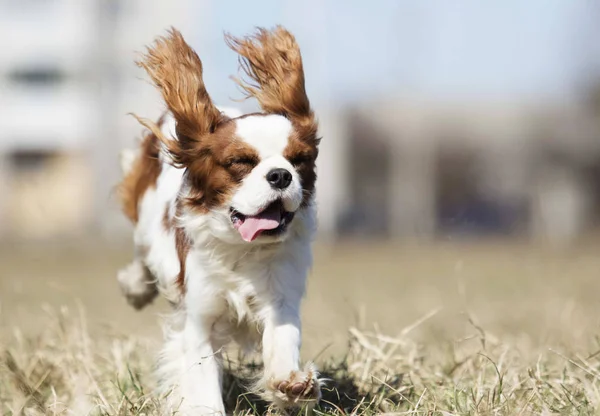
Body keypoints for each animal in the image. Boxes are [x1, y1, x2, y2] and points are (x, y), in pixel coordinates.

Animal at [118, 27, 324, 414]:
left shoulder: (281, 297)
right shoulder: (200, 321)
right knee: (140, 255)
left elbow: (283, 340)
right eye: (241, 162)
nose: (280, 175)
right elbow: (201, 383)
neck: (241, 249)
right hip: (146, 225)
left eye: (299, 160)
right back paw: (135, 287)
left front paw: (292, 385)